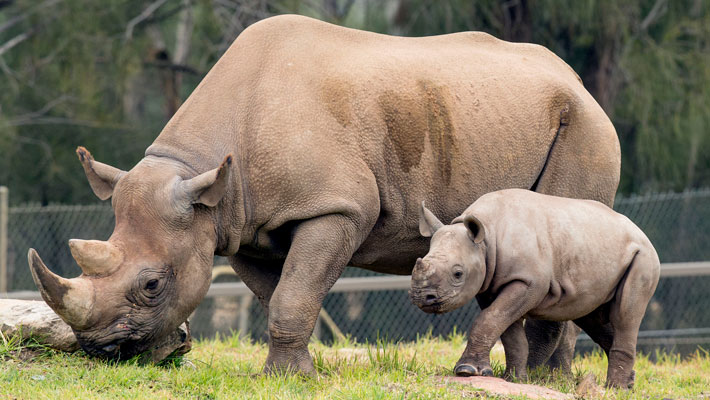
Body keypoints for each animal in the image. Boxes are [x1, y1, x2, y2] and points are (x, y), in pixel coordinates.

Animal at [28, 15, 620, 375]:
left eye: (152, 285)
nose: (102, 351)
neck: (204, 171)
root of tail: (579, 82)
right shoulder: (239, 225)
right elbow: (278, 295)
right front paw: (294, 372)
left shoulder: (336, 209)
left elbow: (294, 293)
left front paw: (286, 377)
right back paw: (549, 378)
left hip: (584, 129)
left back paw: (543, 379)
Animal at [411, 189, 660, 388]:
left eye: (458, 274)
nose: (422, 297)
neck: (486, 241)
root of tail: (642, 234)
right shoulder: (490, 285)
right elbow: (504, 326)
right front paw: (515, 379)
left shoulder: (529, 282)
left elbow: (489, 319)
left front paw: (467, 371)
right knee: (594, 318)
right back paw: (629, 384)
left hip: (643, 258)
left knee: (624, 316)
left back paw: (615, 389)